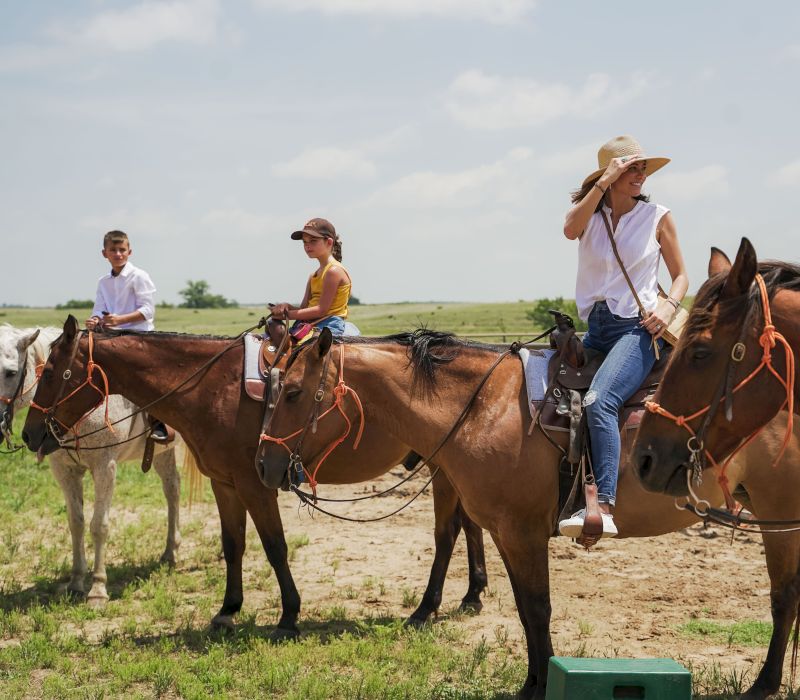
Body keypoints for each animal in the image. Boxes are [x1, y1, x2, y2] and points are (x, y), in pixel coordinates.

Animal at [0, 326, 181, 604]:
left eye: (10, 372)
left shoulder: (105, 467)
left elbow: (99, 525)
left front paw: (97, 588)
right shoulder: (65, 471)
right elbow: (77, 522)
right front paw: (76, 581)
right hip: (163, 452)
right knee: (172, 489)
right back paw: (170, 552)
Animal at [20, 318, 488, 636]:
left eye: (49, 372)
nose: (29, 434)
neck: (213, 388)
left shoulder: (255, 483)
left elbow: (275, 547)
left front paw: (289, 615)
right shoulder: (224, 484)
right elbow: (234, 546)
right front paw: (228, 610)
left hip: (444, 470)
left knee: (448, 532)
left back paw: (428, 608)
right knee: (469, 526)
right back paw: (472, 594)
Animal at [260, 324, 800, 700]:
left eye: (293, 392)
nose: (264, 463)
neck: (483, 407)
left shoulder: (524, 533)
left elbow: (538, 609)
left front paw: (539, 685)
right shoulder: (505, 532)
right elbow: (524, 609)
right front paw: (532, 682)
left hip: (779, 516)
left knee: (783, 598)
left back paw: (764, 684)